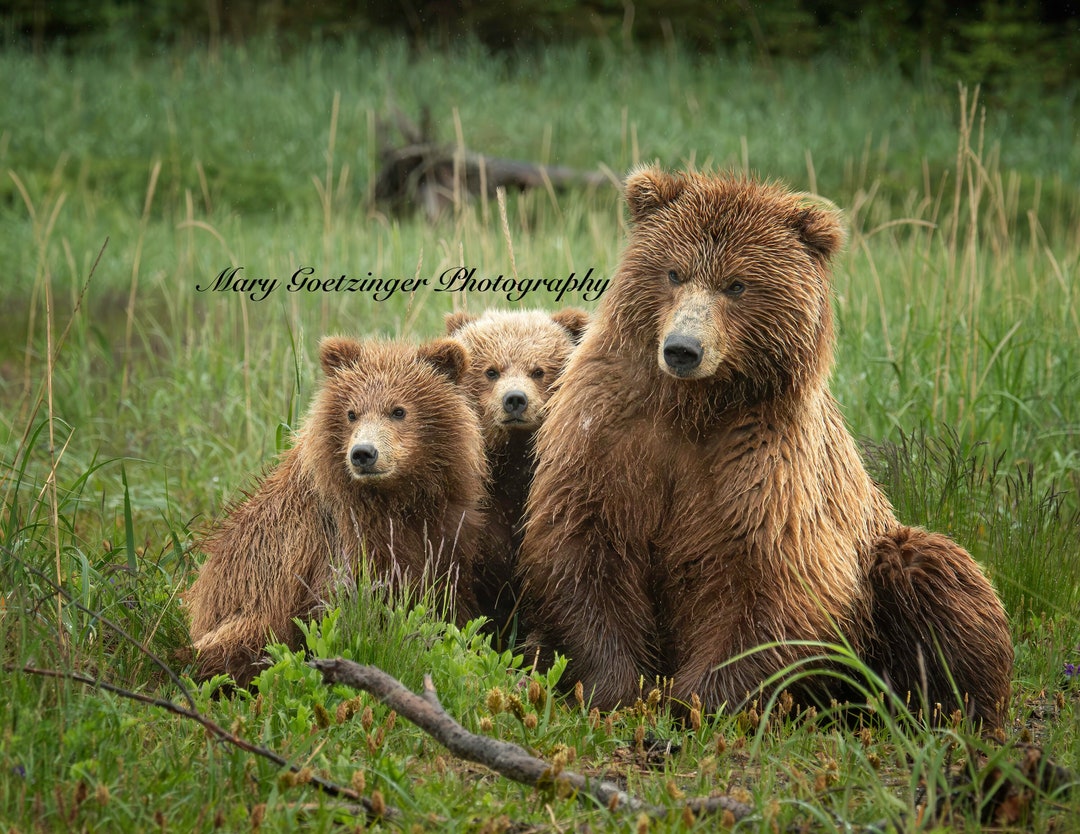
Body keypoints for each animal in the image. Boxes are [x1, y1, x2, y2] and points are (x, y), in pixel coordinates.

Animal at [184, 336, 488, 687]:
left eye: (398, 410)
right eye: (351, 413)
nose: (363, 453)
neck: (395, 498)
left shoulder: (442, 530)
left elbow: (447, 596)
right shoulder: (341, 539)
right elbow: (345, 608)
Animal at [517, 166, 1013, 730]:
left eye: (736, 284)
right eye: (673, 272)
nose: (683, 349)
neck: (694, 408)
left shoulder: (765, 467)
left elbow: (774, 586)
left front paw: (699, 701)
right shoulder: (612, 437)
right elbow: (583, 547)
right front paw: (616, 688)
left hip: (881, 555)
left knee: (934, 572)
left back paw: (950, 711)